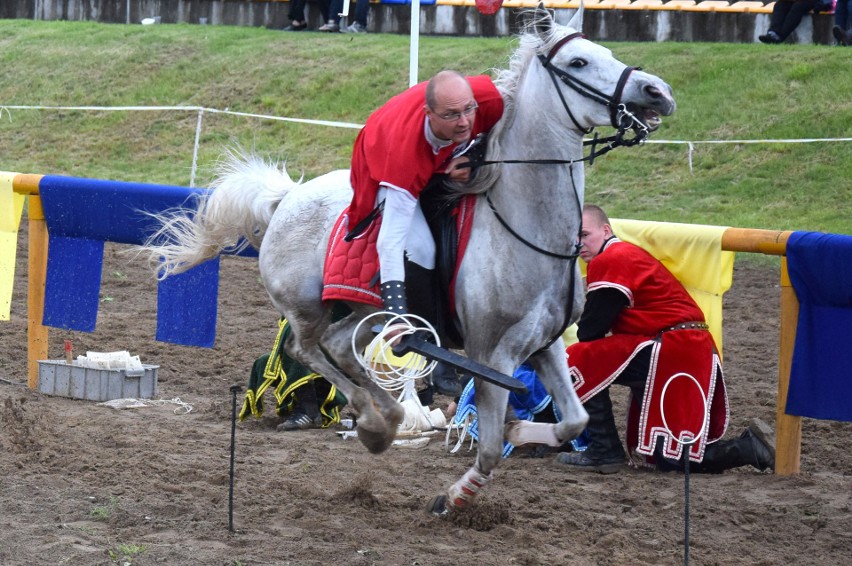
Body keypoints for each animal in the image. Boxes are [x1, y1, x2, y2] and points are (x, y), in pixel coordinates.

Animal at [141, 6, 672, 516]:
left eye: (606, 52)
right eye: (578, 62)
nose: (659, 91)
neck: (524, 225)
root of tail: (288, 195)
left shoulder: (545, 345)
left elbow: (572, 420)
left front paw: (523, 433)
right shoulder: (491, 354)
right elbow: (490, 447)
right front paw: (454, 497)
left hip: (363, 312)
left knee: (339, 345)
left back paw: (385, 416)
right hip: (307, 307)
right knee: (304, 348)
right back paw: (378, 421)